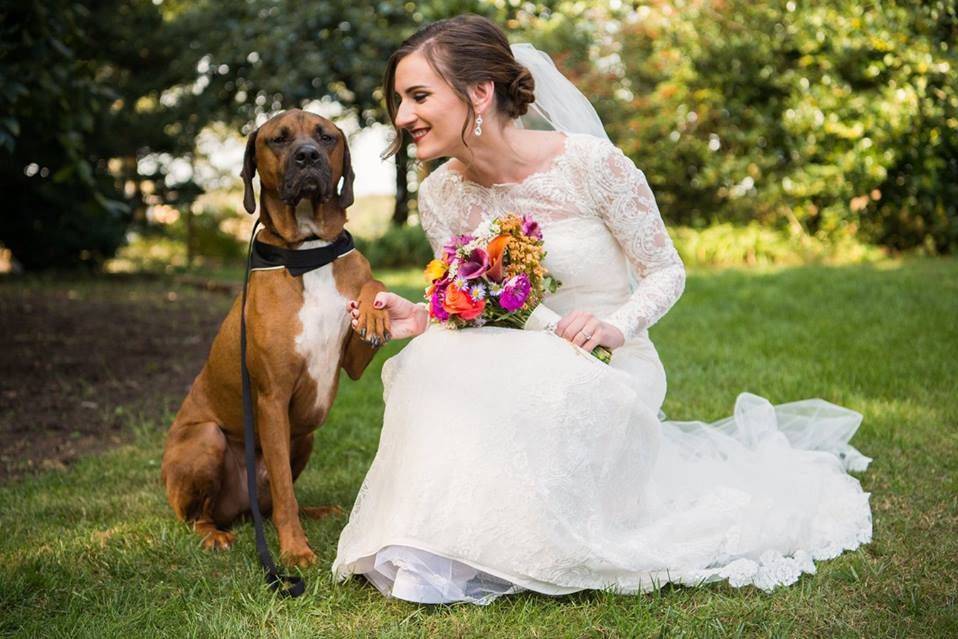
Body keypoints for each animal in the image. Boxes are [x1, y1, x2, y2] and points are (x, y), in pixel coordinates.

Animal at [162, 111, 390, 568]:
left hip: (305, 435)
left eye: (326, 137)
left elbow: (371, 284)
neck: (309, 250)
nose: (308, 157)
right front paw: (295, 550)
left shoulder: (353, 362)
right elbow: (285, 491)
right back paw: (214, 535)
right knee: (205, 515)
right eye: (278, 140)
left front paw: (375, 310)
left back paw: (315, 511)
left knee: (268, 505)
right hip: (206, 440)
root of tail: (238, 510)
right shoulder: (272, 398)